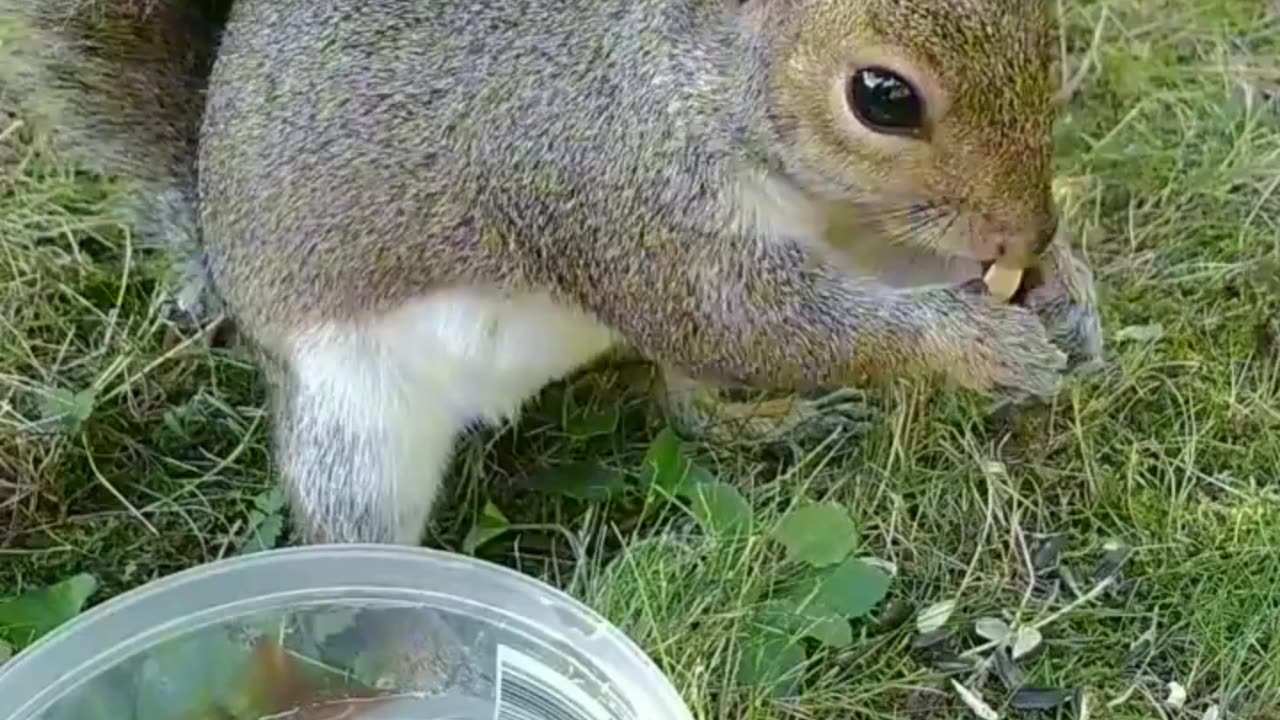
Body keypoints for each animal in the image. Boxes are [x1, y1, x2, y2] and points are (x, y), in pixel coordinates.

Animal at [0, 0, 1100, 540]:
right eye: (882, 97)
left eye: (1043, 27)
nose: (1024, 233)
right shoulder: (606, 193)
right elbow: (745, 319)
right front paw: (976, 345)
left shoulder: (838, 215)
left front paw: (1064, 295)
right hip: (352, 419)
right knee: (352, 526)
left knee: (682, 397)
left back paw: (761, 422)